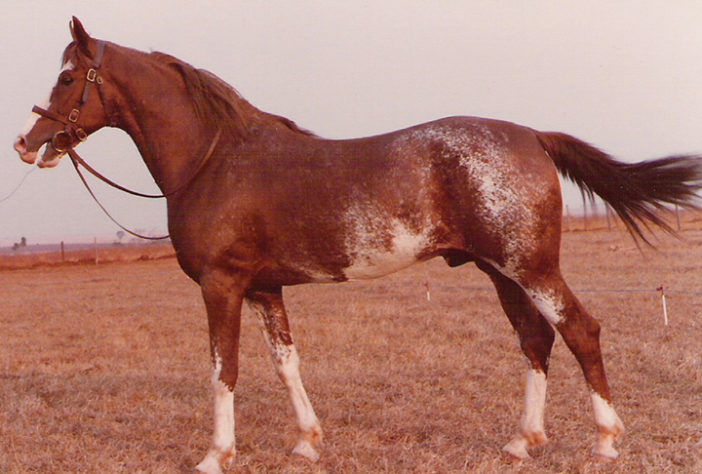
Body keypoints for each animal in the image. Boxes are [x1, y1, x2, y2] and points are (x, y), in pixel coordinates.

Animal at [13, 17, 702, 473]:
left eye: (67, 77)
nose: (26, 142)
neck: (214, 158)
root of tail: (532, 135)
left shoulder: (222, 286)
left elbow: (223, 369)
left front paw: (215, 454)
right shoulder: (264, 289)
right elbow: (286, 364)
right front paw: (306, 441)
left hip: (530, 267)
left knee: (580, 331)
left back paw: (606, 441)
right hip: (501, 272)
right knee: (535, 341)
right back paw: (521, 441)